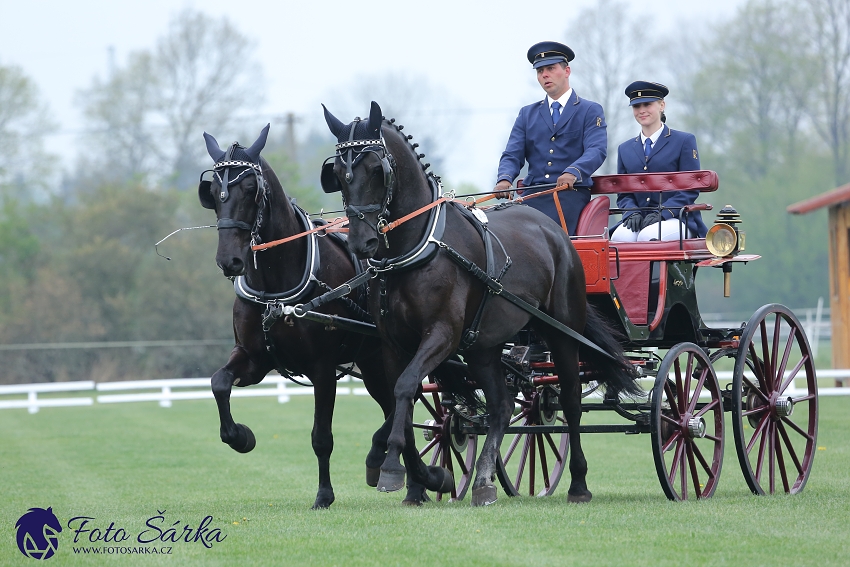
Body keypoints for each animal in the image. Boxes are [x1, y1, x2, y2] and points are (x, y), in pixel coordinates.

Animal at [196, 126, 444, 508]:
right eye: (212, 194)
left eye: (250, 189)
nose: (229, 260)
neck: (276, 284)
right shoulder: (254, 359)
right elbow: (219, 382)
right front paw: (241, 437)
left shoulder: (323, 368)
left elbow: (321, 437)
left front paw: (324, 495)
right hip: (374, 361)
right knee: (398, 401)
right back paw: (411, 481)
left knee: (406, 397)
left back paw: (391, 466)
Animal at [322, 104, 640, 508]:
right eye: (338, 174)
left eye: (377, 169)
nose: (361, 243)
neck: (418, 247)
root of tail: (554, 231)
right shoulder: (394, 343)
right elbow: (400, 403)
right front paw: (418, 478)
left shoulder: (442, 335)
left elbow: (405, 388)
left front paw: (394, 466)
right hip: (483, 346)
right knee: (502, 405)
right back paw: (484, 481)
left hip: (563, 332)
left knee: (570, 400)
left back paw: (579, 483)